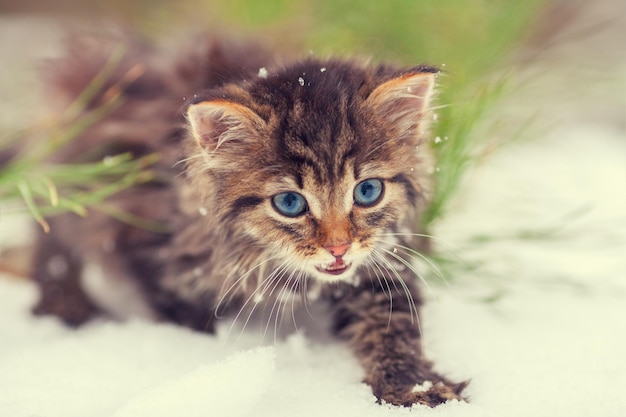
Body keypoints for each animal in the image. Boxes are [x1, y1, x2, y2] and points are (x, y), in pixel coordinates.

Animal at [33, 31, 464, 406]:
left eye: (367, 191)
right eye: (289, 202)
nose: (339, 247)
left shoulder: (382, 259)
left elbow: (393, 324)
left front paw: (411, 385)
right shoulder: (146, 243)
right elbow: (183, 313)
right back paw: (64, 304)